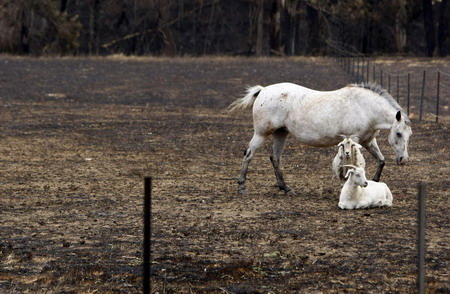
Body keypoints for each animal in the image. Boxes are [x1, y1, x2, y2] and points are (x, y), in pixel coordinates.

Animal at [229, 81, 412, 194]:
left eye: (409, 135)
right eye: (398, 133)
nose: (403, 159)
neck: (366, 107)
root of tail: (263, 90)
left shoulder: (368, 141)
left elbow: (381, 160)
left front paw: (374, 182)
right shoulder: (352, 140)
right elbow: (349, 164)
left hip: (281, 134)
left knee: (275, 158)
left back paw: (285, 188)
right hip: (261, 134)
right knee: (249, 154)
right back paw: (242, 186)